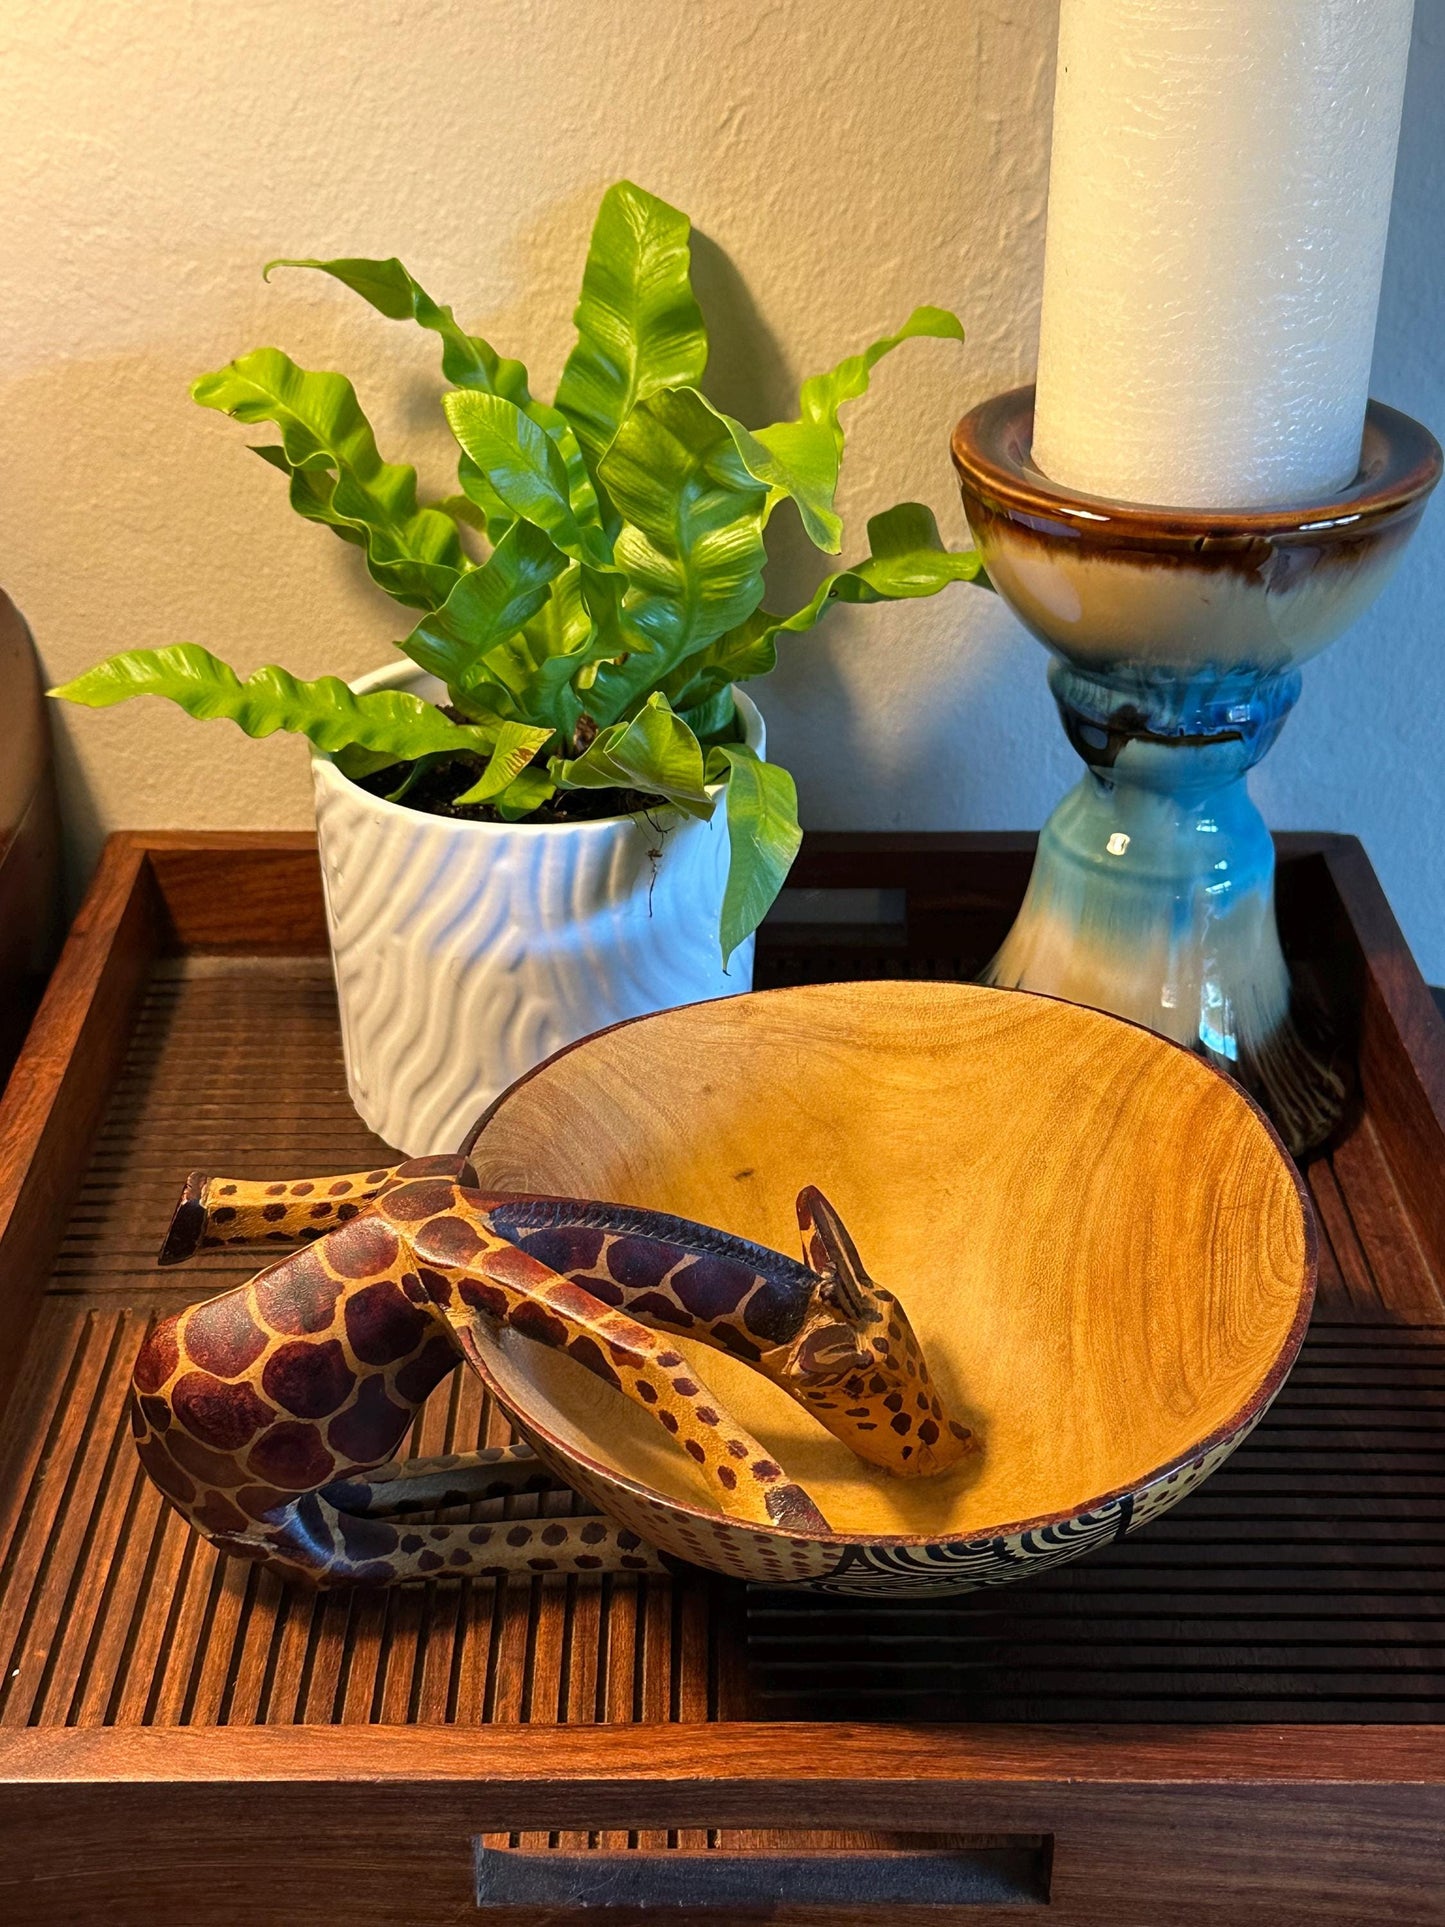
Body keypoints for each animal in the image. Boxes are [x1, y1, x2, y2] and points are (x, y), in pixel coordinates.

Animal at [134, 1155, 975, 1586]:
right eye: (884, 1382)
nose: (955, 1444)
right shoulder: (465, 1259)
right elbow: (642, 1342)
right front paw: (784, 1513)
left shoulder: (427, 1186)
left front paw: (192, 1207)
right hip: (308, 1542)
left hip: (340, 1494)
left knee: (422, 1483)